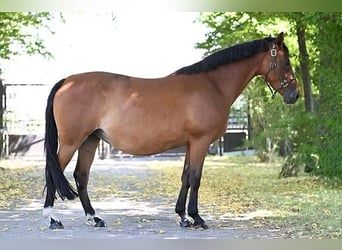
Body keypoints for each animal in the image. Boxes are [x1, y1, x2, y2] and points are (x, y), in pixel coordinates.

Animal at [43, 33, 300, 230]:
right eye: (286, 62)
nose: (295, 95)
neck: (212, 85)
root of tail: (67, 81)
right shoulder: (200, 142)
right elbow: (195, 178)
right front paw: (197, 218)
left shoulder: (190, 143)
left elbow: (185, 177)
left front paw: (183, 217)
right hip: (71, 142)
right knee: (53, 172)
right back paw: (52, 219)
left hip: (90, 140)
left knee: (81, 176)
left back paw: (94, 217)